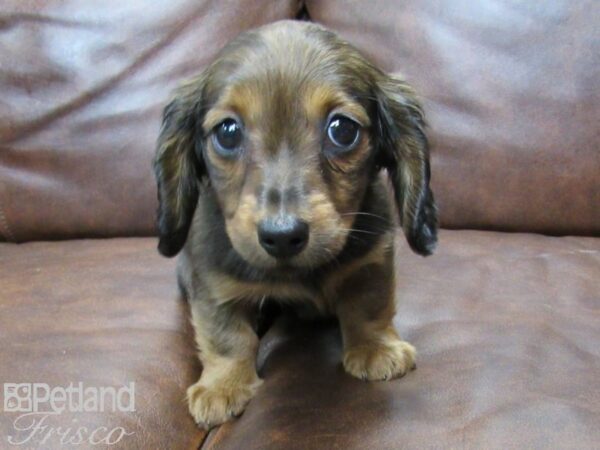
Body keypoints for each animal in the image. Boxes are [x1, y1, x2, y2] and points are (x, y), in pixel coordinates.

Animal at [154, 21, 436, 428]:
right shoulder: (213, 281)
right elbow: (227, 336)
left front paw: (376, 348)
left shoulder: (372, 258)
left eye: (342, 129)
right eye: (227, 132)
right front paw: (222, 386)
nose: (283, 236)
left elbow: (369, 304)